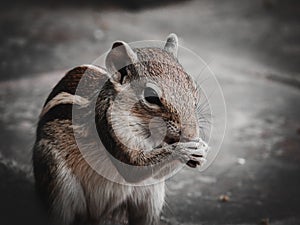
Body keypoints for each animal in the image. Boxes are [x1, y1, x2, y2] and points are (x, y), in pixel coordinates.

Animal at [32, 33, 209, 225]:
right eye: (151, 97)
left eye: (194, 89)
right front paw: (183, 149)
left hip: (150, 197)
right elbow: (132, 169)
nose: (191, 134)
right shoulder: (108, 127)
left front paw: (201, 149)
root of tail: (97, 216)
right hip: (57, 184)